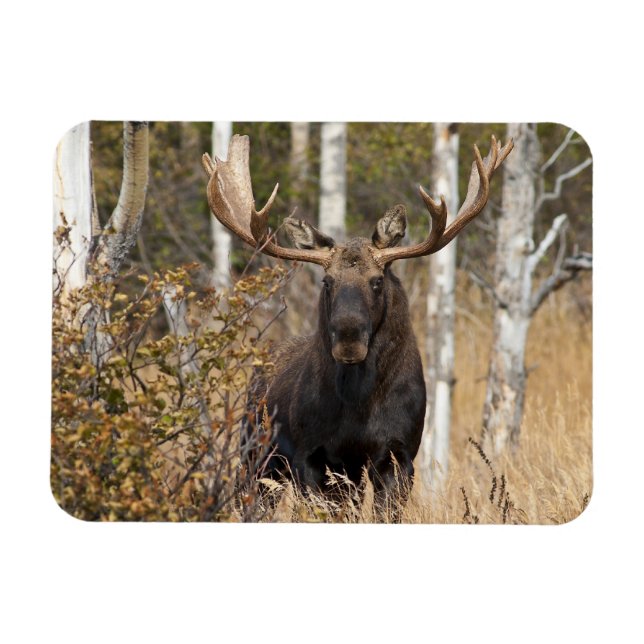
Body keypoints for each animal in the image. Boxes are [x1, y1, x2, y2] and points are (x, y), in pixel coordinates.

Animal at [202, 133, 513, 509]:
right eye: (327, 281)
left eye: (377, 281)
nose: (349, 340)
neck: (359, 407)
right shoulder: (313, 456)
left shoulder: (399, 454)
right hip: (256, 456)